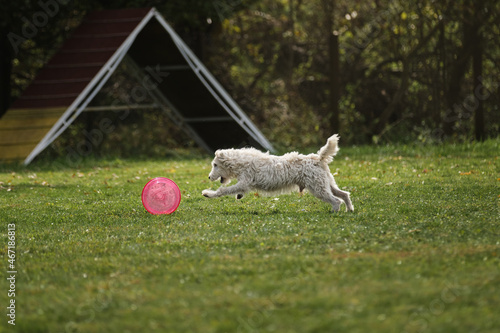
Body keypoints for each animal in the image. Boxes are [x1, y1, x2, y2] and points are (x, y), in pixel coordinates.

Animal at [201, 134, 354, 211]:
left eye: (215, 165)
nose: (208, 177)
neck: (240, 162)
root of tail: (318, 158)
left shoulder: (244, 182)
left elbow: (224, 190)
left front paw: (208, 194)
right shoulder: (243, 184)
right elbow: (234, 190)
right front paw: (239, 196)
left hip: (318, 188)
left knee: (336, 201)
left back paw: (334, 212)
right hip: (327, 184)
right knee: (344, 195)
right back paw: (349, 210)